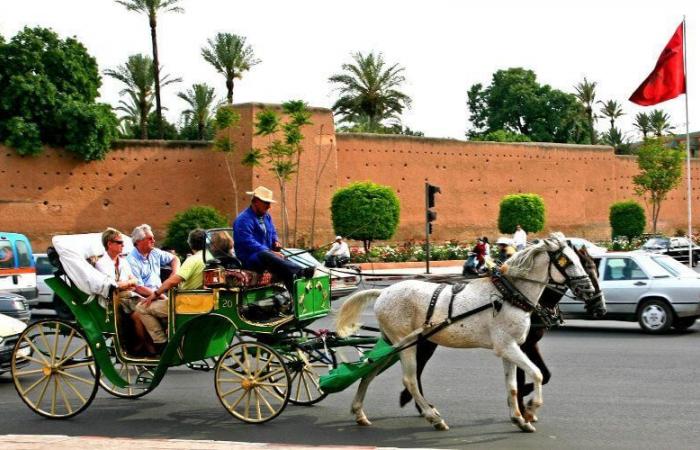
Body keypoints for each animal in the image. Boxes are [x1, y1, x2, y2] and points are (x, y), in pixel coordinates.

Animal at [334, 232, 596, 432]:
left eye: (583, 262)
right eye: (567, 261)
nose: (589, 289)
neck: (509, 294)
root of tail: (384, 292)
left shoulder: (510, 348)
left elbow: (513, 386)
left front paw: (519, 418)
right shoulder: (508, 346)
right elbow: (538, 374)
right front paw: (530, 409)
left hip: (394, 342)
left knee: (369, 370)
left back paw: (359, 412)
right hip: (404, 342)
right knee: (409, 379)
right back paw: (433, 416)